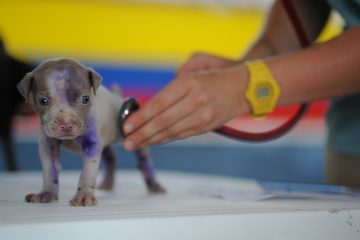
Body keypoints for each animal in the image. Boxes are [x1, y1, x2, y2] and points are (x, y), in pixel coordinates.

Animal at [16, 58, 163, 206]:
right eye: (43, 101)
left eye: (85, 99)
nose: (66, 124)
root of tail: (116, 96)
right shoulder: (48, 145)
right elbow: (49, 170)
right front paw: (47, 193)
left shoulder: (92, 144)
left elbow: (87, 172)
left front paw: (83, 195)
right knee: (111, 156)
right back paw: (108, 183)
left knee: (143, 160)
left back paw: (155, 185)